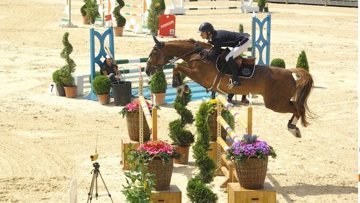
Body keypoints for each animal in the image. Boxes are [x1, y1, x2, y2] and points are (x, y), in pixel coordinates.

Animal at [145, 36, 314, 138]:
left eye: (153, 53)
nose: (147, 70)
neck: (198, 55)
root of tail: (289, 72)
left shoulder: (199, 75)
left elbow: (177, 66)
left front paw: (177, 84)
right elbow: (179, 67)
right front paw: (182, 87)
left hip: (275, 103)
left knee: (297, 107)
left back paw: (292, 128)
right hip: (277, 102)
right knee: (297, 106)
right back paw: (293, 127)